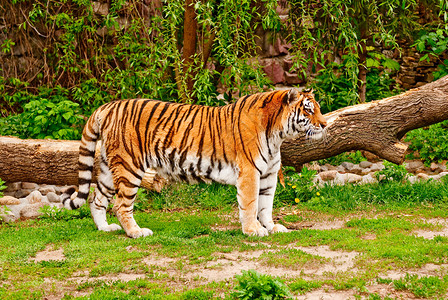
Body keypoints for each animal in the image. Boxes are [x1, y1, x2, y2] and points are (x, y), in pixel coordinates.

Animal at [61, 88, 328, 238]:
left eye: (317, 109)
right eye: (308, 110)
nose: (325, 124)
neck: (277, 134)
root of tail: (107, 106)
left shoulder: (269, 175)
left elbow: (266, 205)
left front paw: (271, 227)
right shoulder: (249, 173)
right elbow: (251, 204)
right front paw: (253, 231)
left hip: (109, 169)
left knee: (96, 199)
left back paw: (105, 229)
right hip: (129, 167)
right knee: (120, 205)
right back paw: (136, 232)